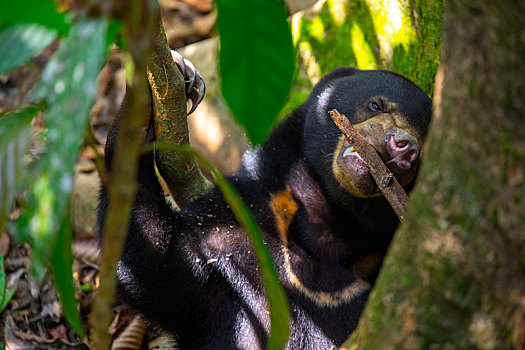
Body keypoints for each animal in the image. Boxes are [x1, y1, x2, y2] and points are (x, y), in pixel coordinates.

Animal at [97, 67, 430, 348]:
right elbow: (155, 265)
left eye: (424, 146)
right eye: (376, 105)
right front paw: (148, 99)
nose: (403, 146)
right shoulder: (231, 231)